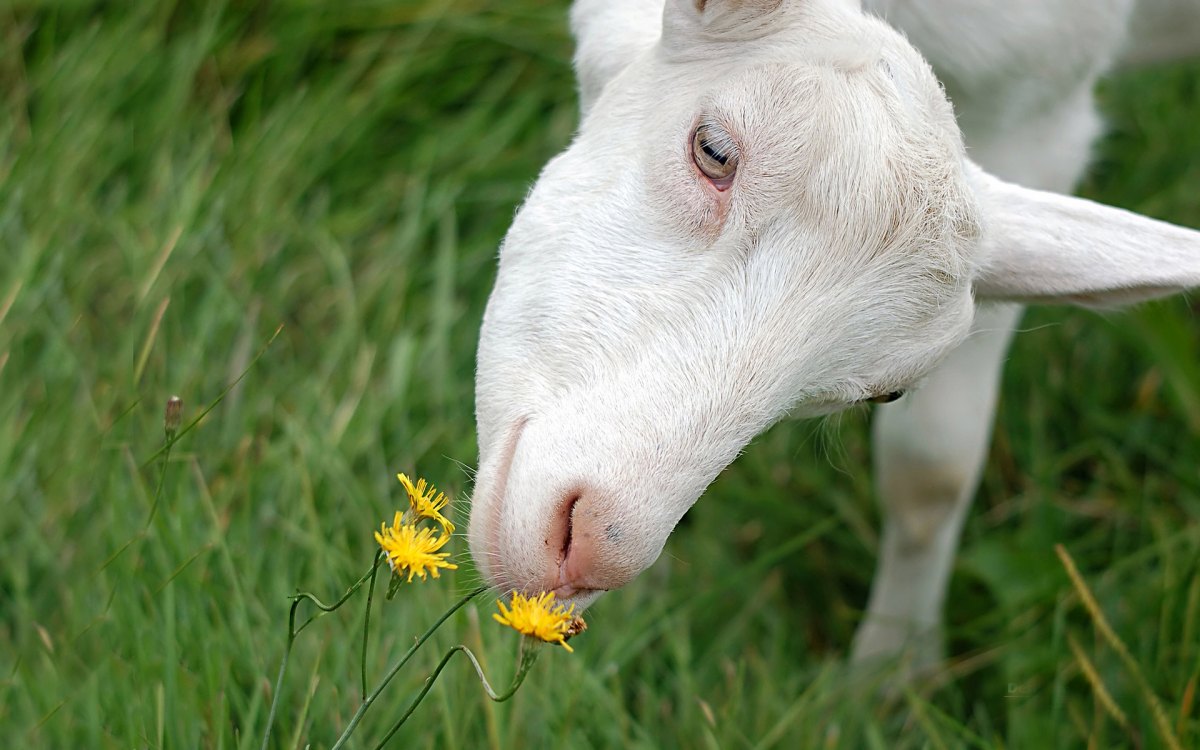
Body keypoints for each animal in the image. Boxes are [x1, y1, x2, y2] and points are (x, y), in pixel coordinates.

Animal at [465, 0, 1200, 667]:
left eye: (886, 394)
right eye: (713, 149)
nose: (591, 549)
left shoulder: (1039, 107)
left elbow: (932, 471)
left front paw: (891, 675)